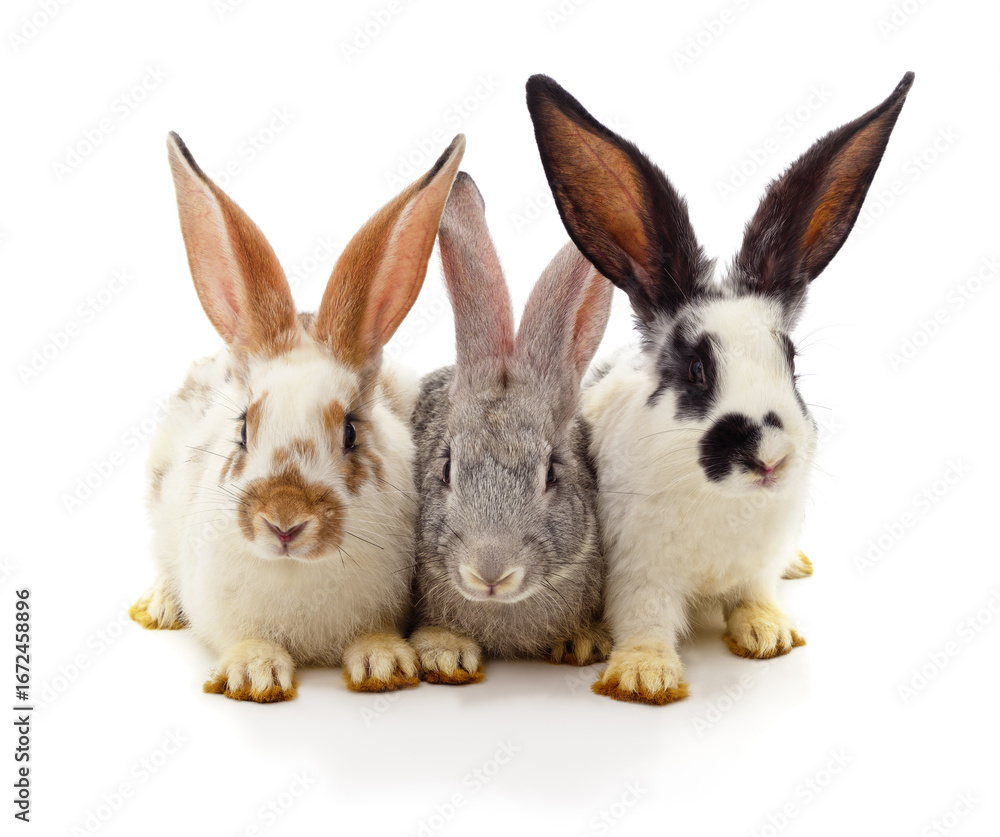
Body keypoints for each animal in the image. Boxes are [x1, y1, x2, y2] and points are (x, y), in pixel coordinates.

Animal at [128, 131, 465, 702]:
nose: (284, 522)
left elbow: (375, 635)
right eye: (243, 428)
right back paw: (161, 606)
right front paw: (254, 673)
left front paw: (383, 664)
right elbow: (243, 639)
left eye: (350, 430)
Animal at [526, 72, 913, 704]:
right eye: (695, 370)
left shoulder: (754, 567)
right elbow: (645, 619)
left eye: (791, 360)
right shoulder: (639, 574)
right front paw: (644, 676)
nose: (770, 458)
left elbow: (753, 596)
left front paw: (770, 634)